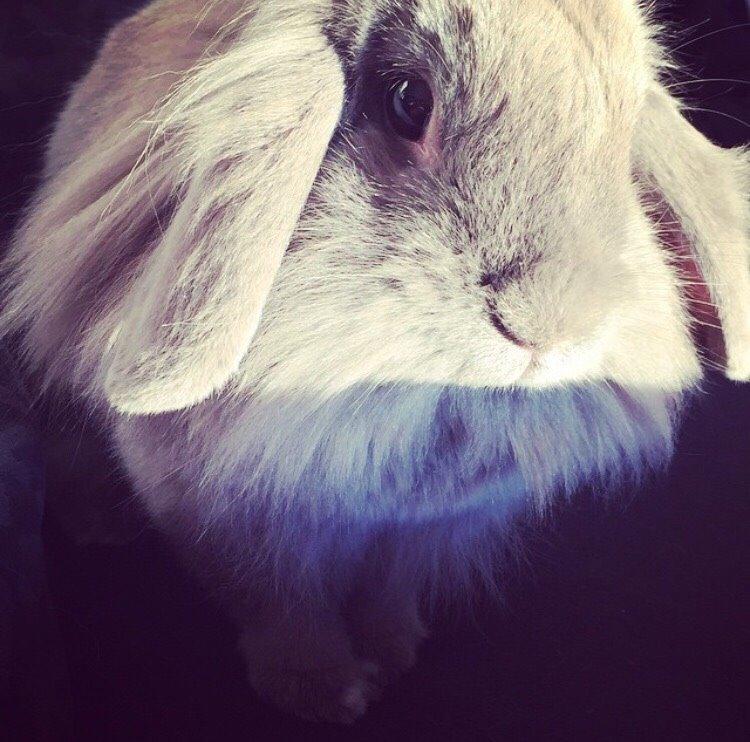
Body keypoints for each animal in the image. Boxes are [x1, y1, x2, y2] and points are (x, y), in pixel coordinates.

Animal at [2, 0, 749, 724]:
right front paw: (325, 696)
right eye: (406, 101)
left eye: (623, 138)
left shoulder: (423, 528)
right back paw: (101, 525)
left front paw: (394, 652)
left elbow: (387, 591)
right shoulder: (234, 518)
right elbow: (283, 608)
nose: (546, 327)